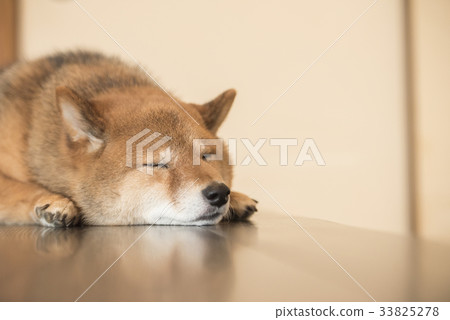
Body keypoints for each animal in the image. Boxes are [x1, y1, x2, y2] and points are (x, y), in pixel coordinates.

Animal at [0, 51, 258, 226]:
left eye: (206, 156)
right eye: (155, 164)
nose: (219, 193)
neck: (29, 129)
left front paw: (236, 198)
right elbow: (18, 187)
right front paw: (52, 200)